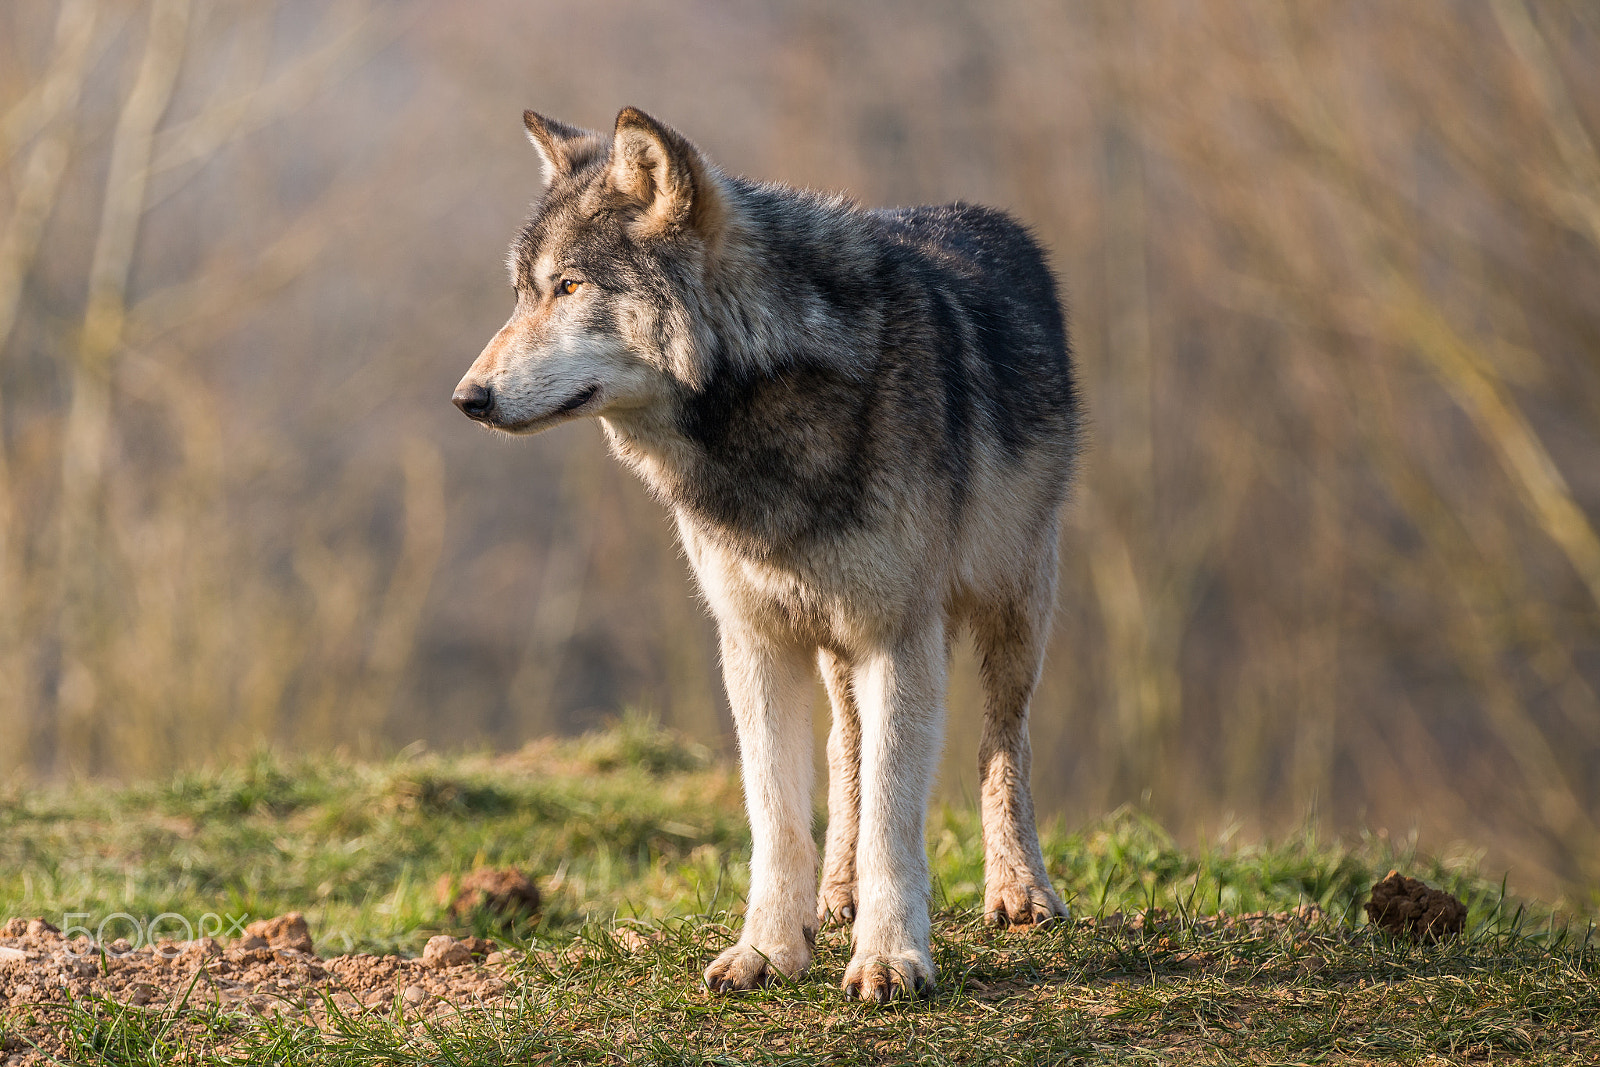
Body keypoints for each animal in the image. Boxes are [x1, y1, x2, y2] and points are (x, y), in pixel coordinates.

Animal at [457, 108, 1081, 1004]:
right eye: (521, 292)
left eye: (569, 287)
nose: (466, 398)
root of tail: (991, 219)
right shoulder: (754, 640)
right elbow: (777, 814)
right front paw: (768, 949)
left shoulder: (900, 635)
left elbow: (896, 815)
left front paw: (890, 957)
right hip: (838, 643)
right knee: (848, 752)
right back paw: (839, 895)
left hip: (1014, 605)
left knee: (1004, 743)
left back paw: (1020, 890)